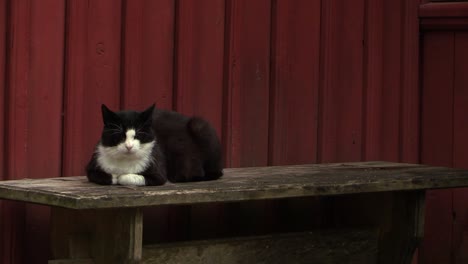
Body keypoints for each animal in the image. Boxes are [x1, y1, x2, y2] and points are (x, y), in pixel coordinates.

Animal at [86, 104, 225, 187]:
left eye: (138, 135)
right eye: (120, 135)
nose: (129, 146)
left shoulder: (159, 174)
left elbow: (128, 177)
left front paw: (121, 176)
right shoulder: (91, 168)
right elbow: (105, 177)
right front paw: (113, 175)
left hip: (200, 126)